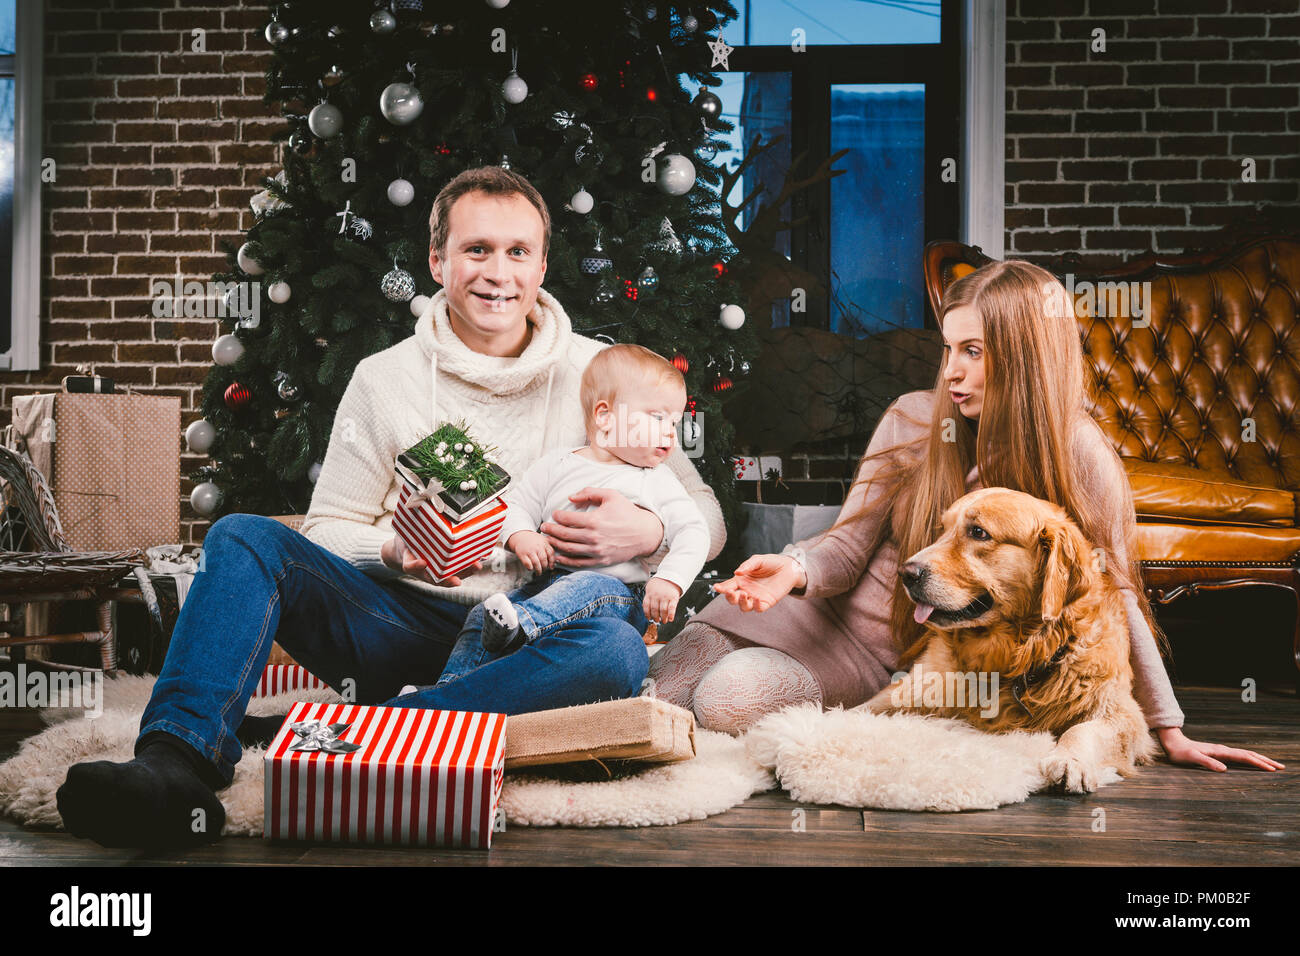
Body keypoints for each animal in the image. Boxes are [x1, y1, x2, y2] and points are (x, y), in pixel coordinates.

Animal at [868, 486, 1154, 790]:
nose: (905, 573)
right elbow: (864, 709)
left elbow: (1081, 729)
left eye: (978, 532)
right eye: (943, 529)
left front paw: (1069, 760)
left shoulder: (1123, 713)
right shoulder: (915, 687)